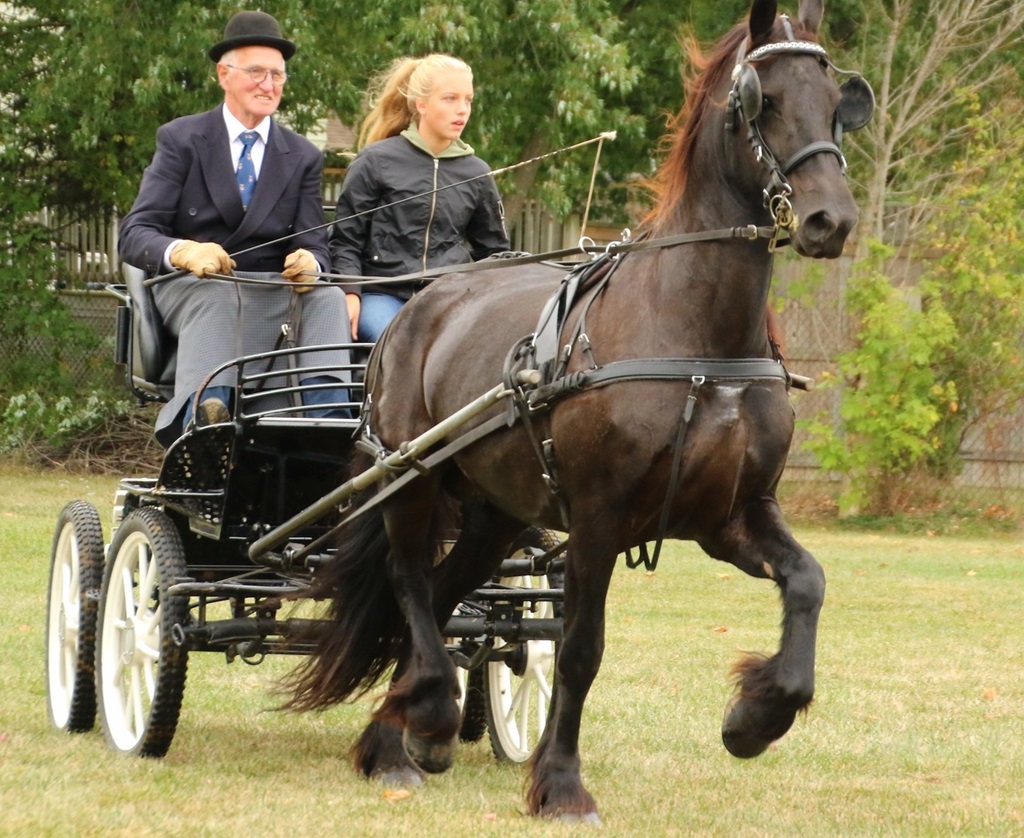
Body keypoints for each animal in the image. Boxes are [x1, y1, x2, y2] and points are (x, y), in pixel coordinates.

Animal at [283, 0, 871, 822]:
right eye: (763, 102)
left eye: (838, 101)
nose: (829, 219)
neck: (697, 340)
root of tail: (420, 304)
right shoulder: (599, 516)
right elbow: (581, 648)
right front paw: (561, 783)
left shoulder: (730, 516)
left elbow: (809, 582)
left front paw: (754, 717)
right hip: (411, 481)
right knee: (408, 582)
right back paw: (426, 713)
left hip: (495, 515)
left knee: (437, 594)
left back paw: (394, 743)